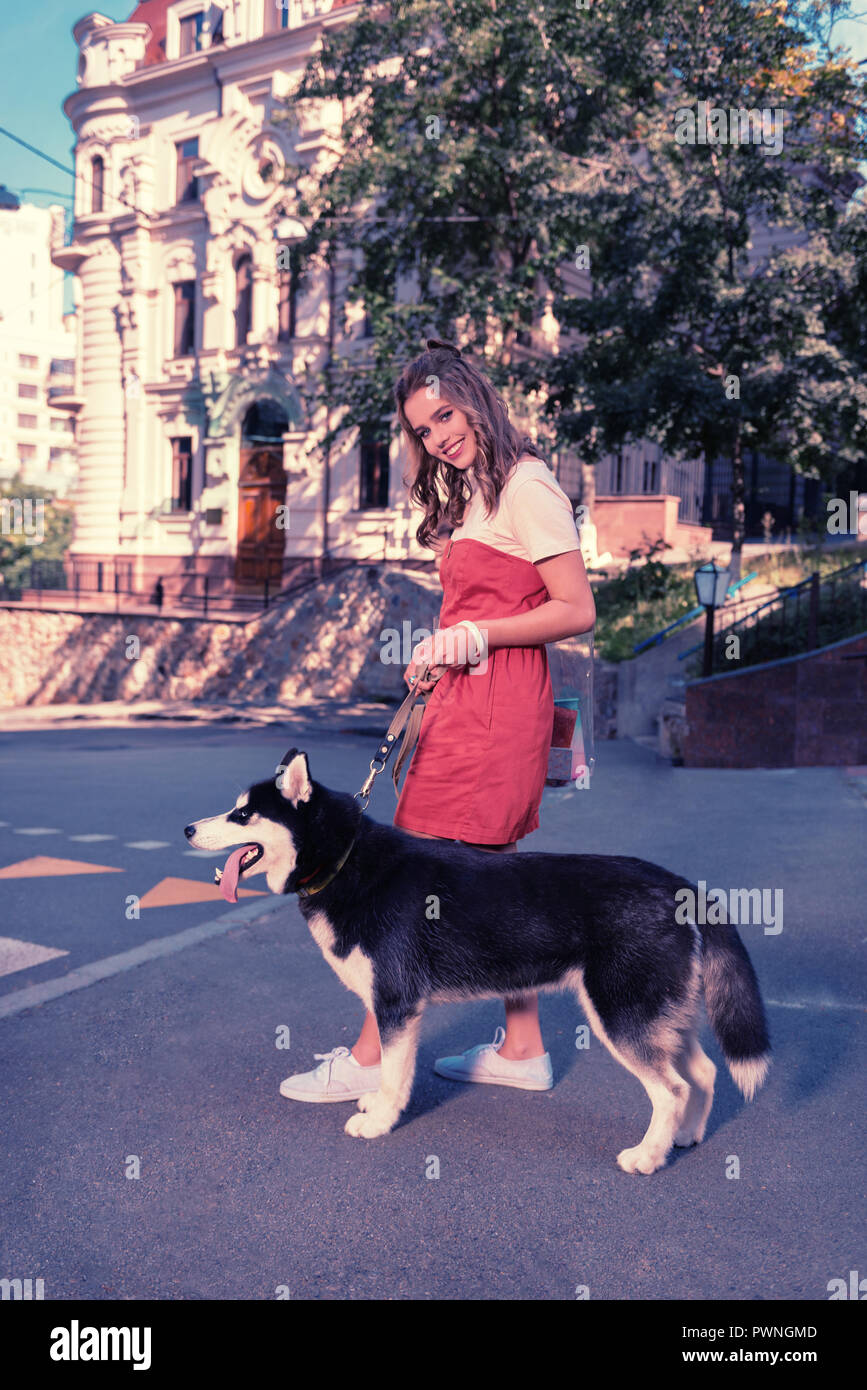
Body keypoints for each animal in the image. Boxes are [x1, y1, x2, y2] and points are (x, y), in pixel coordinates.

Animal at [184, 750, 772, 1173]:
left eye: (242, 814)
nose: (188, 829)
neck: (345, 859)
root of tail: (678, 885)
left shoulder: (396, 1003)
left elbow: (394, 1074)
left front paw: (380, 1123)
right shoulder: (391, 1005)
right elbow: (389, 1070)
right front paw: (375, 1106)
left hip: (621, 1017)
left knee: (671, 1089)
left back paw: (648, 1156)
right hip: (661, 1015)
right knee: (702, 1073)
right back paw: (685, 1136)